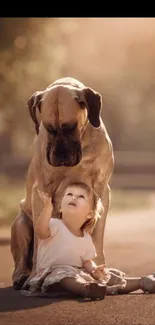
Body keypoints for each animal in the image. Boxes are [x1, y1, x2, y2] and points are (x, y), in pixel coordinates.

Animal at [10, 76, 114, 288]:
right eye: (48, 128)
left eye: (71, 127)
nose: (60, 156)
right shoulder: (41, 192)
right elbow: (40, 242)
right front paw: (36, 275)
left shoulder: (101, 190)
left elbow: (97, 236)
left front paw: (100, 270)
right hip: (21, 223)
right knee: (22, 257)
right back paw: (22, 275)